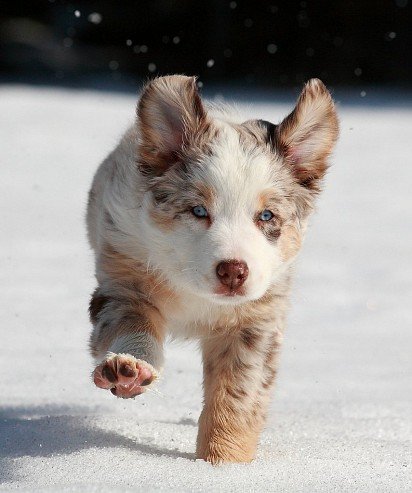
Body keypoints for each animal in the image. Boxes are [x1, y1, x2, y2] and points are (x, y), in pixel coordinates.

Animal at [86, 75, 338, 464]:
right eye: (199, 211)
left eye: (267, 216)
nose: (233, 271)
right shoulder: (124, 278)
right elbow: (132, 325)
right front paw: (130, 369)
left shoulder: (256, 319)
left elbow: (236, 395)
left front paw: (222, 463)